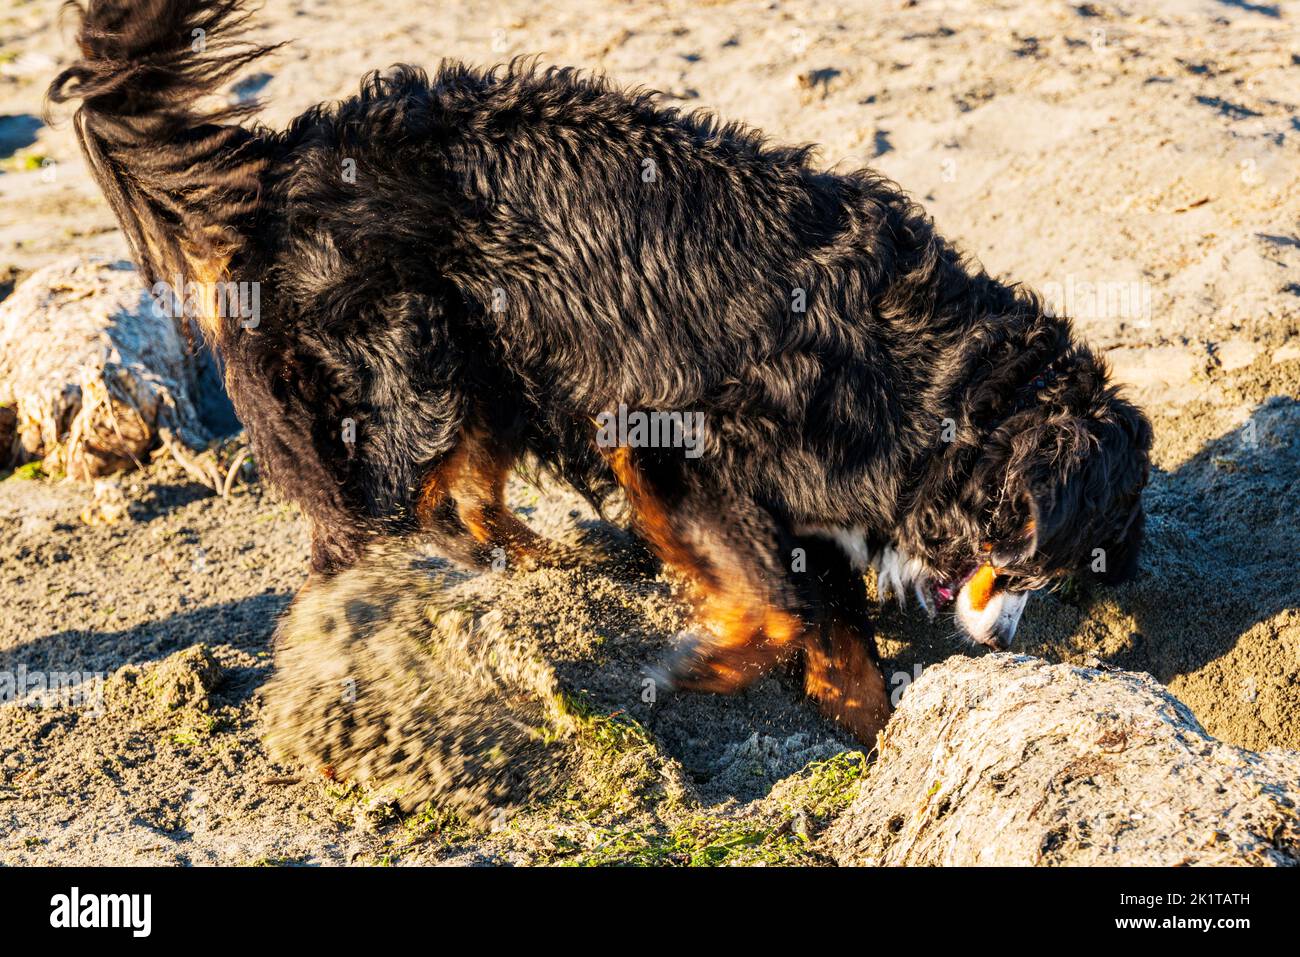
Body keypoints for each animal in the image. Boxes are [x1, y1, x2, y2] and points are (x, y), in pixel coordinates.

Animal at [48, 0, 1149, 743]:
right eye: (1035, 564)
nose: (1006, 642)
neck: (933, 387)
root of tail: (288, 161)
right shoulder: (678, 445)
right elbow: (779, 601)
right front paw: (701, 668)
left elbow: (825, 612)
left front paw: (864, 720)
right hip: (415, 358)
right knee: (372, 523)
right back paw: (369, 641)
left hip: (487, 367)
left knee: (461, 498)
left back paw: (543, 564)